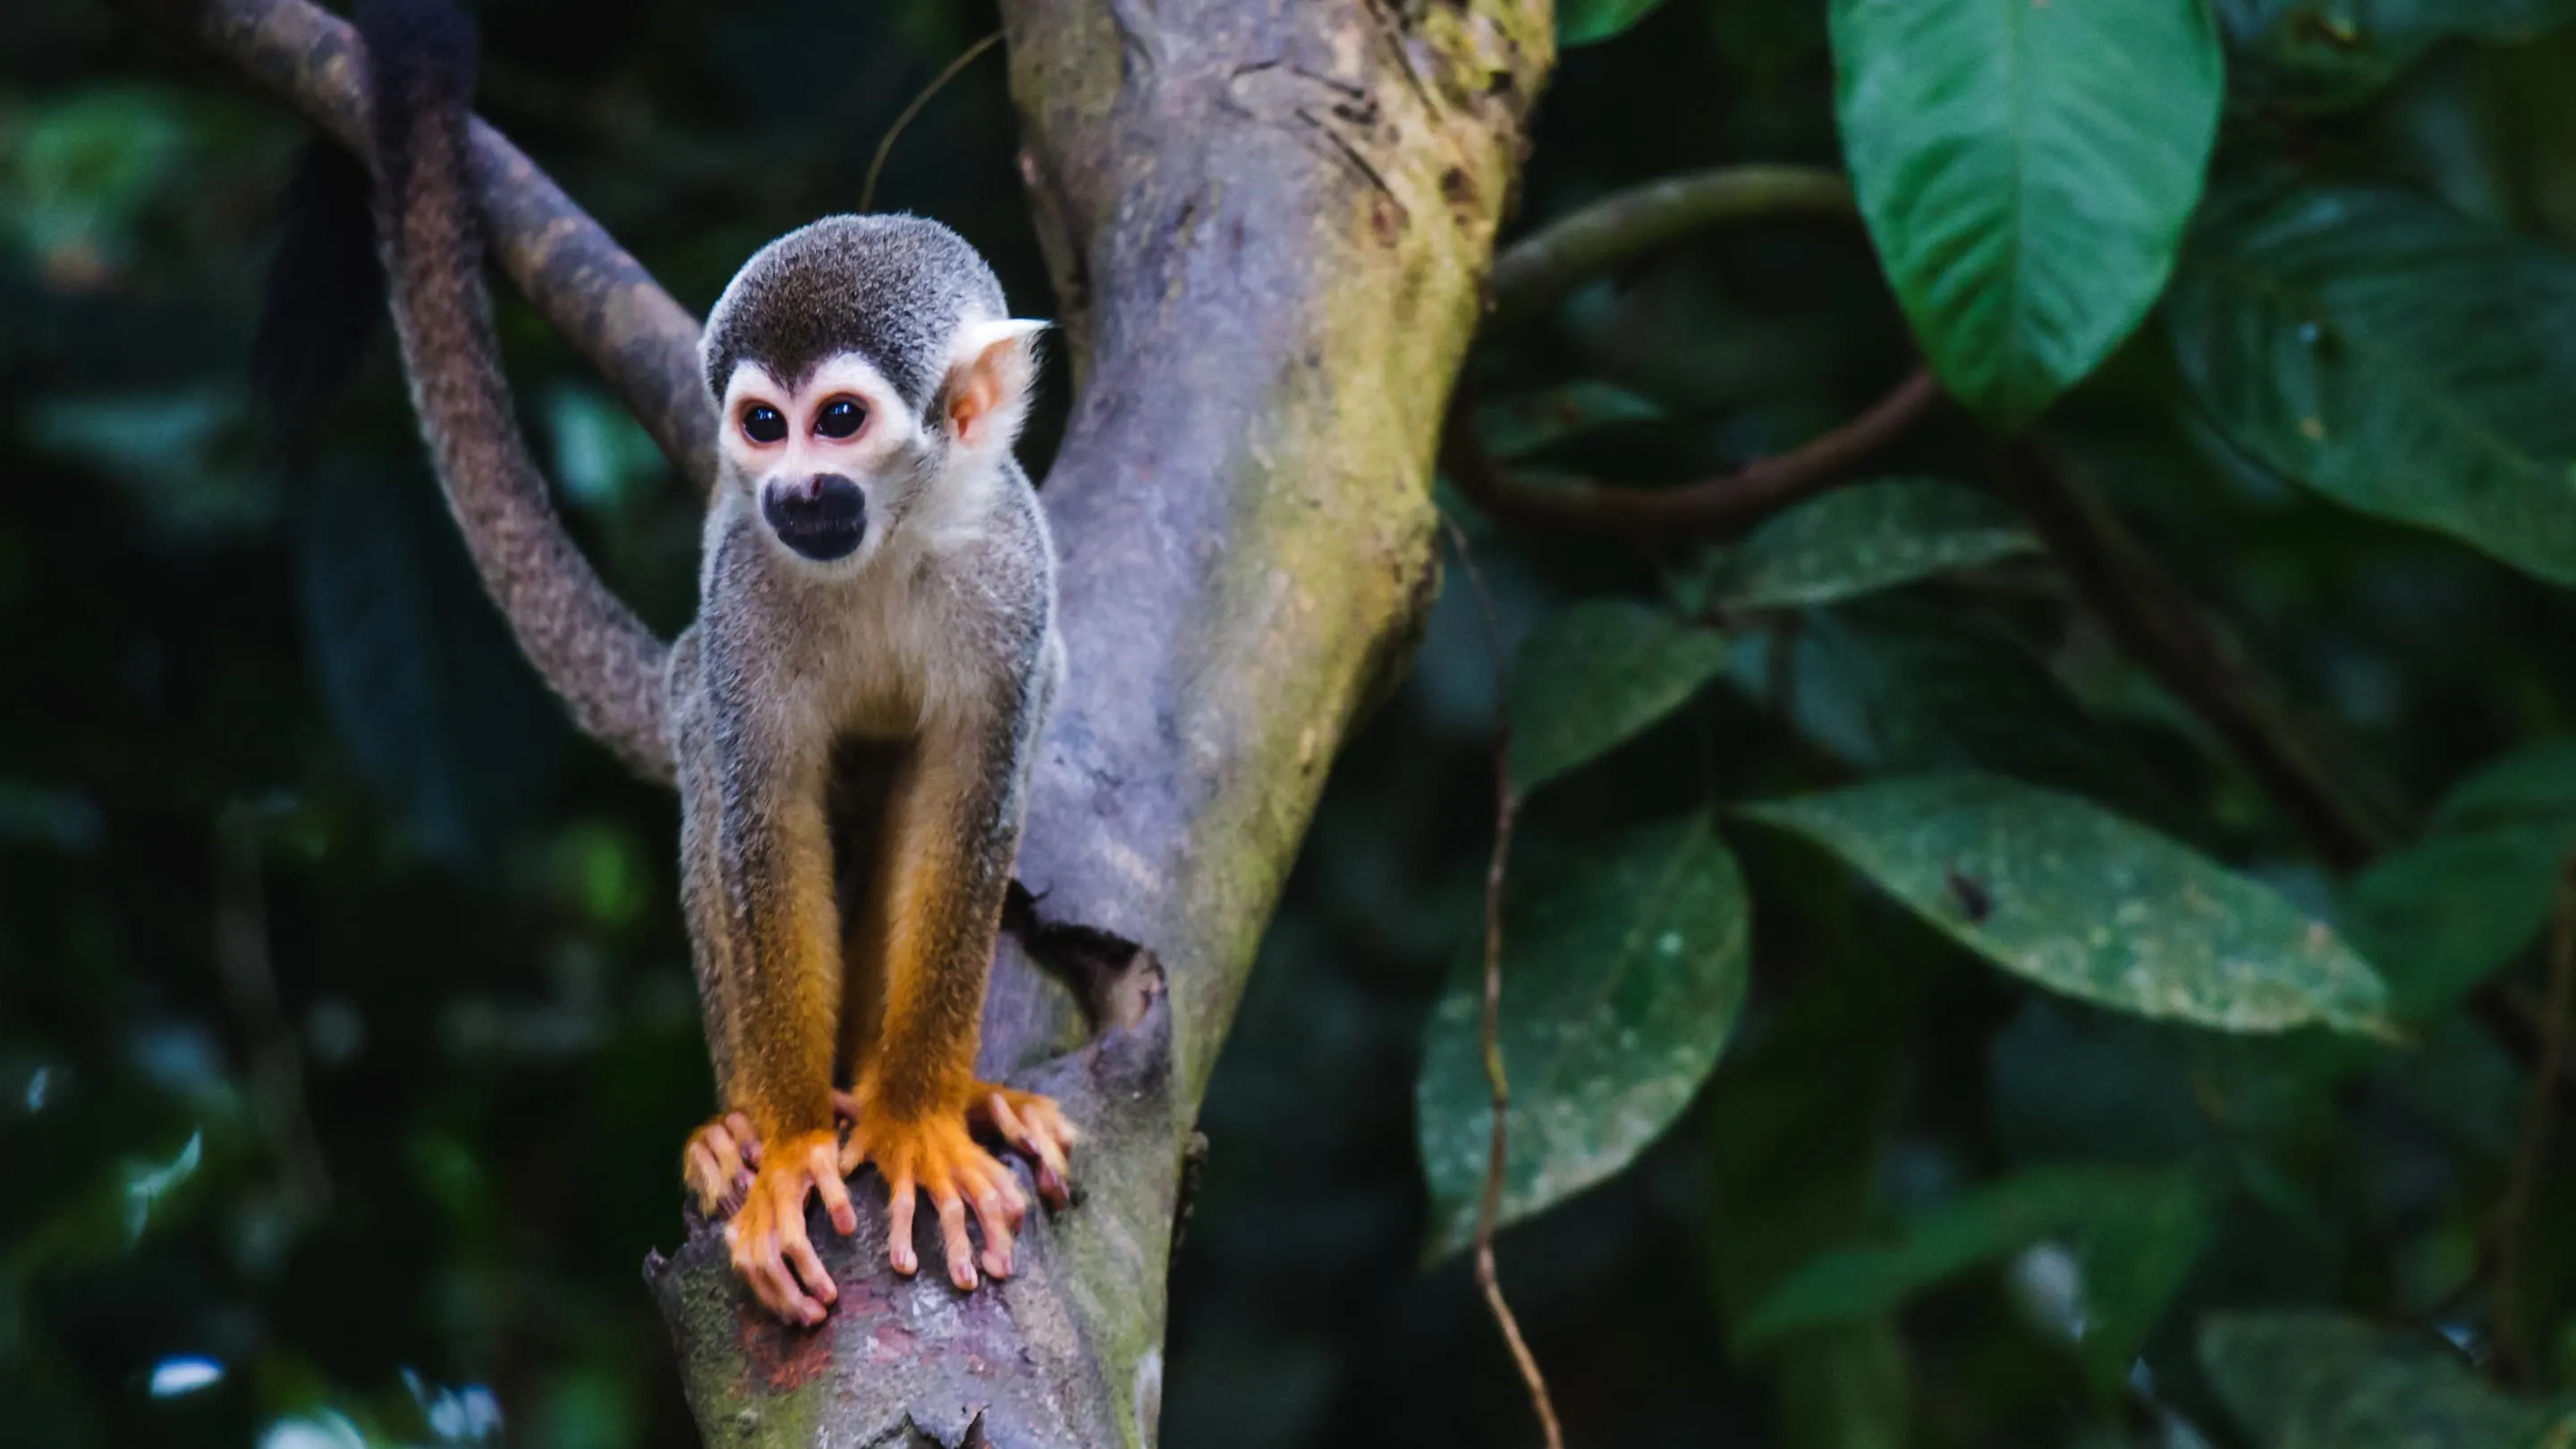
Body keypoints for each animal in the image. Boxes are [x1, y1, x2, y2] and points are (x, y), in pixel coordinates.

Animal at [351, 0, 1077, 1325]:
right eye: (762, 425)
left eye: (837, 421)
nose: (794, 491)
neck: (890, 544)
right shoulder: (742, 582)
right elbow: (762, 816)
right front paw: (788, 1151)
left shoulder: (1012, 568)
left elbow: (969, 797)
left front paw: (920, 1119)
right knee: (713, 767)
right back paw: (737, 1132)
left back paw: (948, 1094)